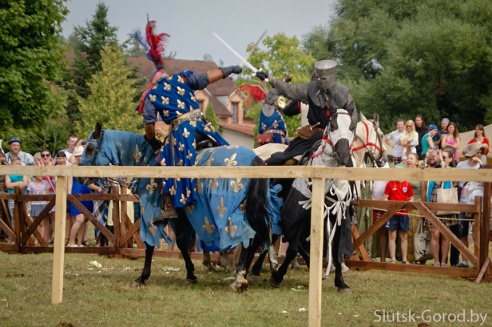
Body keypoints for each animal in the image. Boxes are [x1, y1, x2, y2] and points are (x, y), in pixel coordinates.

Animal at [80, 122, 280, 292]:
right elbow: (183, 244)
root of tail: (256, 159)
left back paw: (240, 277)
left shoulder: (151, 213)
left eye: (89, 148)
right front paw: (191, 274)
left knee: (247, 236)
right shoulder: (183, 218)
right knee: (261, 234)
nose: (81, 177)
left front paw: (143, 277)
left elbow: (151, 244)